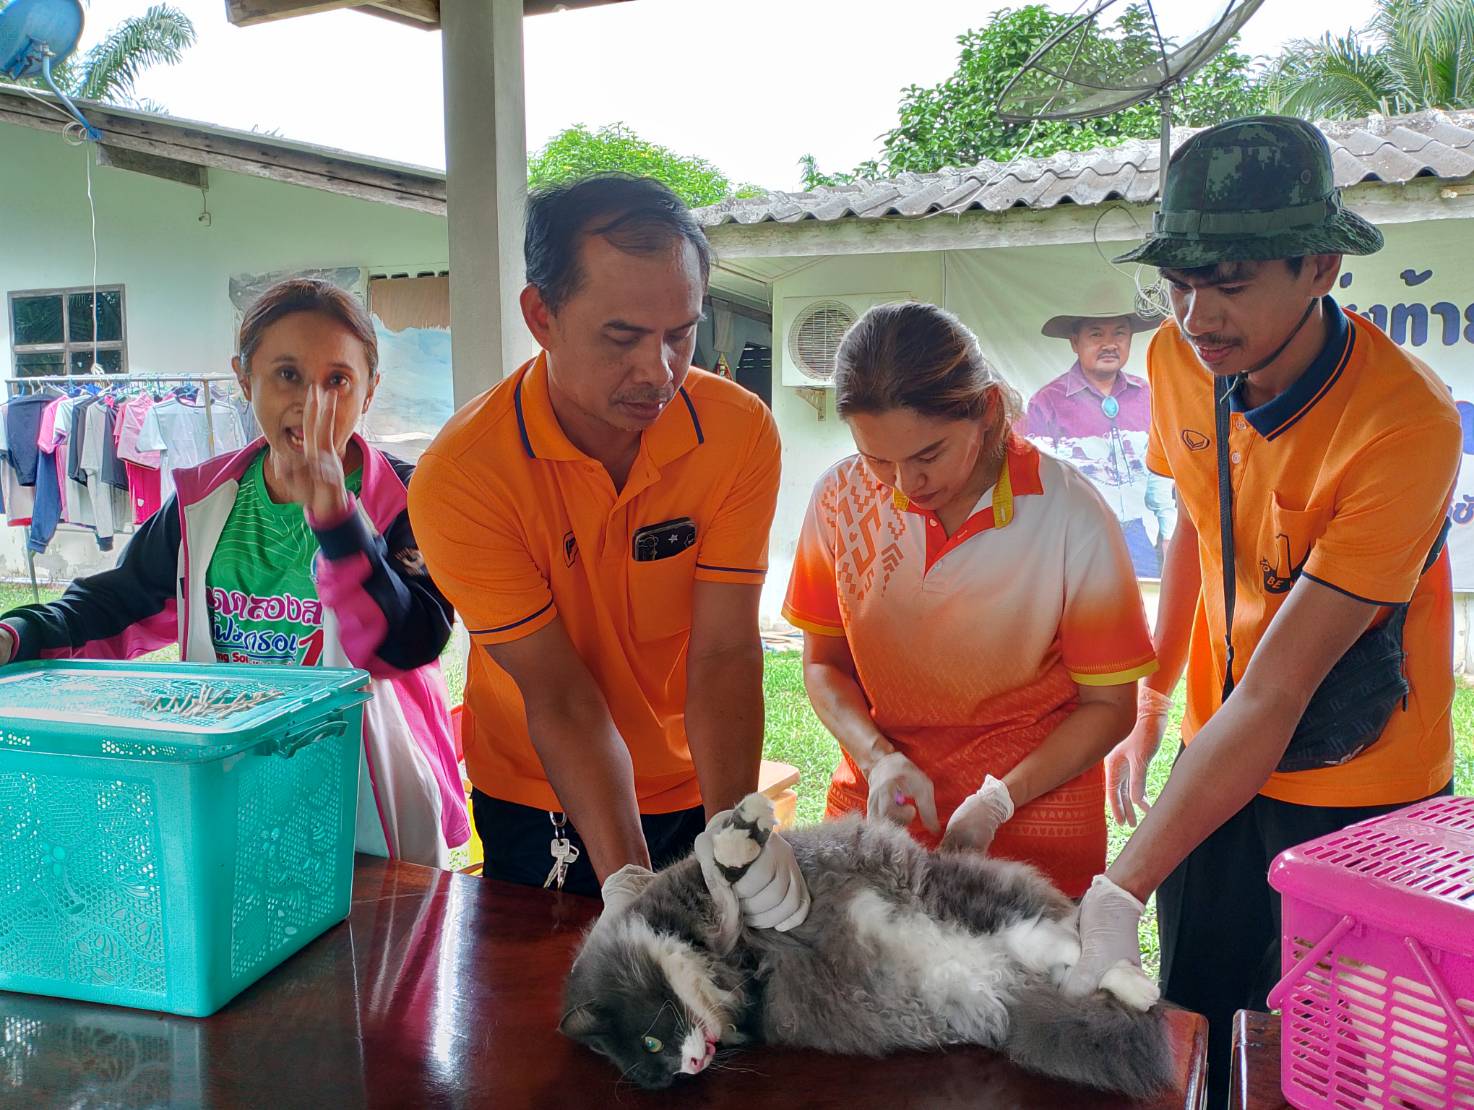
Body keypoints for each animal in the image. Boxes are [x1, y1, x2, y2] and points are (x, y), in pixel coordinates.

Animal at [563, 790, 1173, 1096]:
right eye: (653, 1067)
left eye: (649, 1043)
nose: (688, 1068)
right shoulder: (745, 981)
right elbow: (726, 899)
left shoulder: (697, 910)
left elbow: (722, 874)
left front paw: (742, 829)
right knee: (1065, 965)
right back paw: (1129, 987)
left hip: (962, 899)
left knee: (1068, 943)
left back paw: (1135, 981)